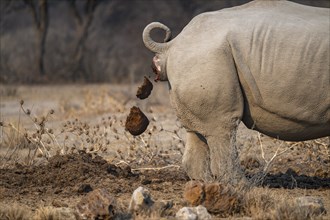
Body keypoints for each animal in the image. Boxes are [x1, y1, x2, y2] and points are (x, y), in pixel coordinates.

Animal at [142, 0, 330, 185]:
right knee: (223, 126)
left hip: (195, 58)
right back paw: (244, 187)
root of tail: (173, 44)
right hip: (208, 56)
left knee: (196, 131)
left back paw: (206, 184)